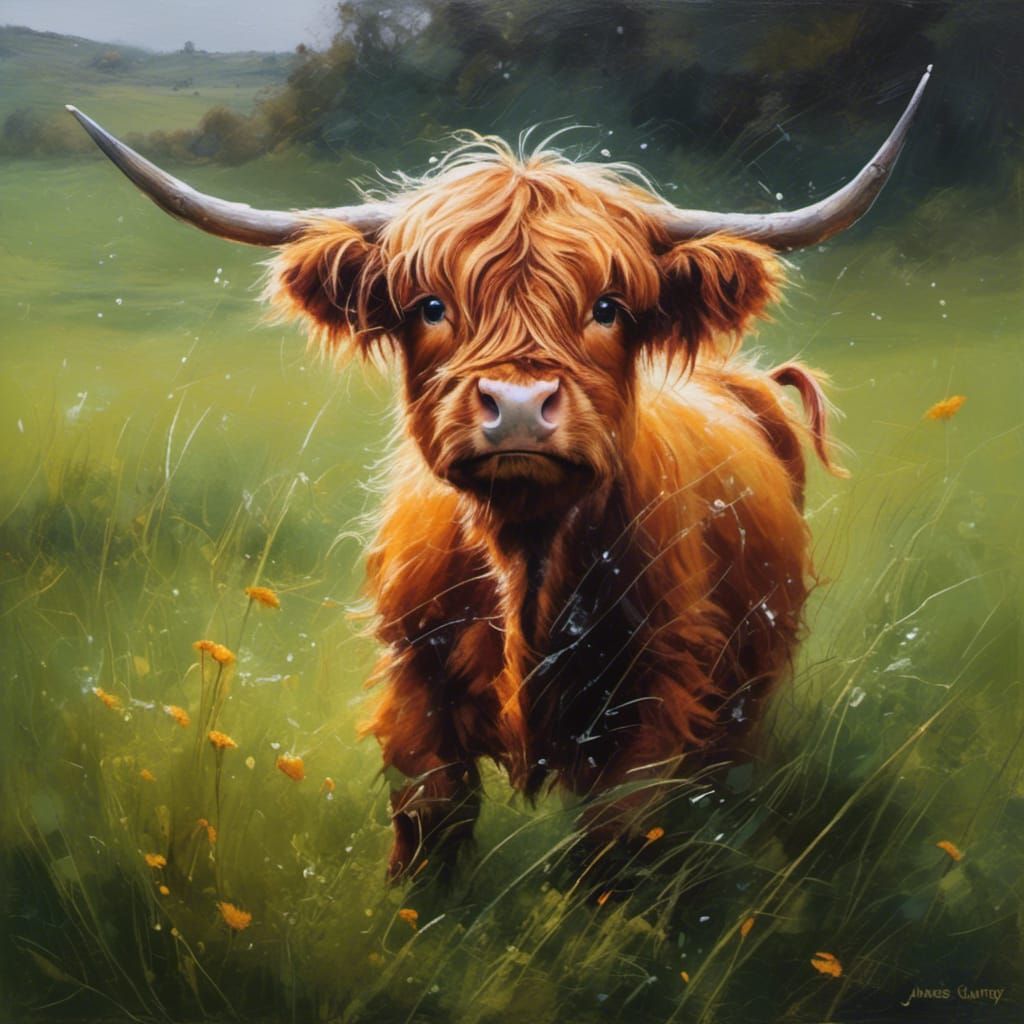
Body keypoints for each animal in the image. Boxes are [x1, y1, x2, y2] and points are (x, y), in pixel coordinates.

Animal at [68, 67, 930, 880]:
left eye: (608, 306)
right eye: (429, 305)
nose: (517, 406)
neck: (525, 558)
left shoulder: (656, 696)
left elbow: (611, 847)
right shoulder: (414, 685)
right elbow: (430, 823)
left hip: (748, 693)